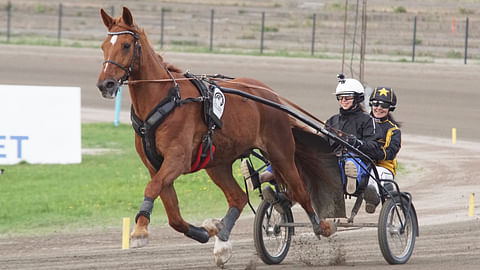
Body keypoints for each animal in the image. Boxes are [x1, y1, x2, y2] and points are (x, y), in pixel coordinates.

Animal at [97, 7, 336, 266]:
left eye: (126, 45)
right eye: (103, 46)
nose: (105, 84)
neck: (165, 99)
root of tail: (270, 94)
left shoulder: (177, 159)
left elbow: (152, 188)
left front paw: (139, 231)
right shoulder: (156, 166)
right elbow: (173, 214)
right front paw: (207, 230)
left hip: (280, 151)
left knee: (300, 189)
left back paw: (321, 225)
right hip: (217, 163)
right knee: (238, 197)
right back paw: (221, 241)